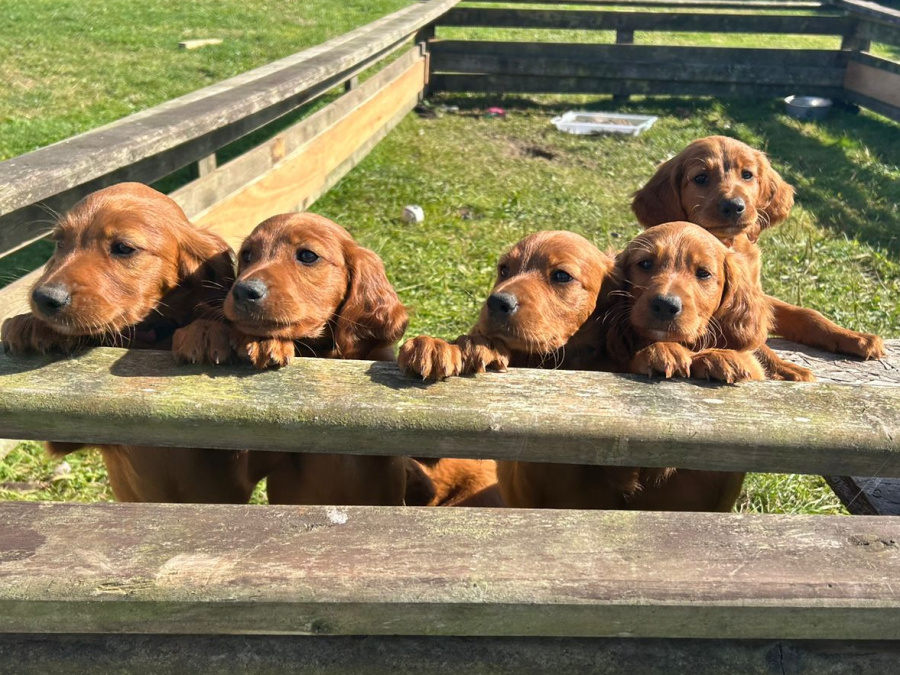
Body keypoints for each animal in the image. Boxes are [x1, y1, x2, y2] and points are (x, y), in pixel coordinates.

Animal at [0, 182, 253, 504]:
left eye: (123, 248)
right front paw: (33, 325)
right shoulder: (66, 438)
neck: (149, 334)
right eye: (59, 242)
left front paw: (207, 330)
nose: (45, 298)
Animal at [632, 135, 884, 380]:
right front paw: (786, 369)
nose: (734, 205)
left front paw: (855, 337)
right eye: (701, 178)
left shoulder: (756, 296)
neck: (729, 242)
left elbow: (806, 314)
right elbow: (755, 342)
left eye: (747, 175)